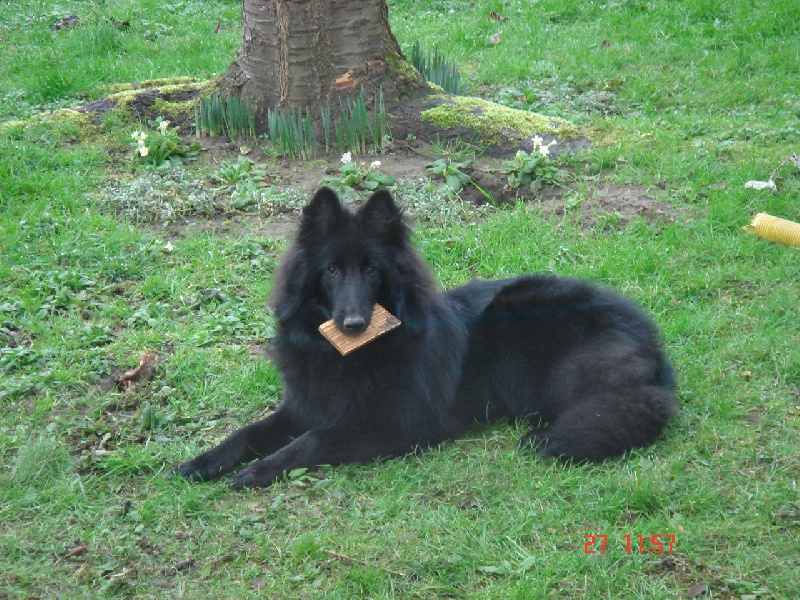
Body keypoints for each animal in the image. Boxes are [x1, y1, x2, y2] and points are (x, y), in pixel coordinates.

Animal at [175, 188, 676, 488]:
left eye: (372, 271)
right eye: (332, 270)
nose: (354, 324)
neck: (348, 358)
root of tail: (651, 343)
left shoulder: (399, 426)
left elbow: (311, 440)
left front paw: (258, 471)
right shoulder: (305, 404)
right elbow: (247, 431)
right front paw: (202, 462)